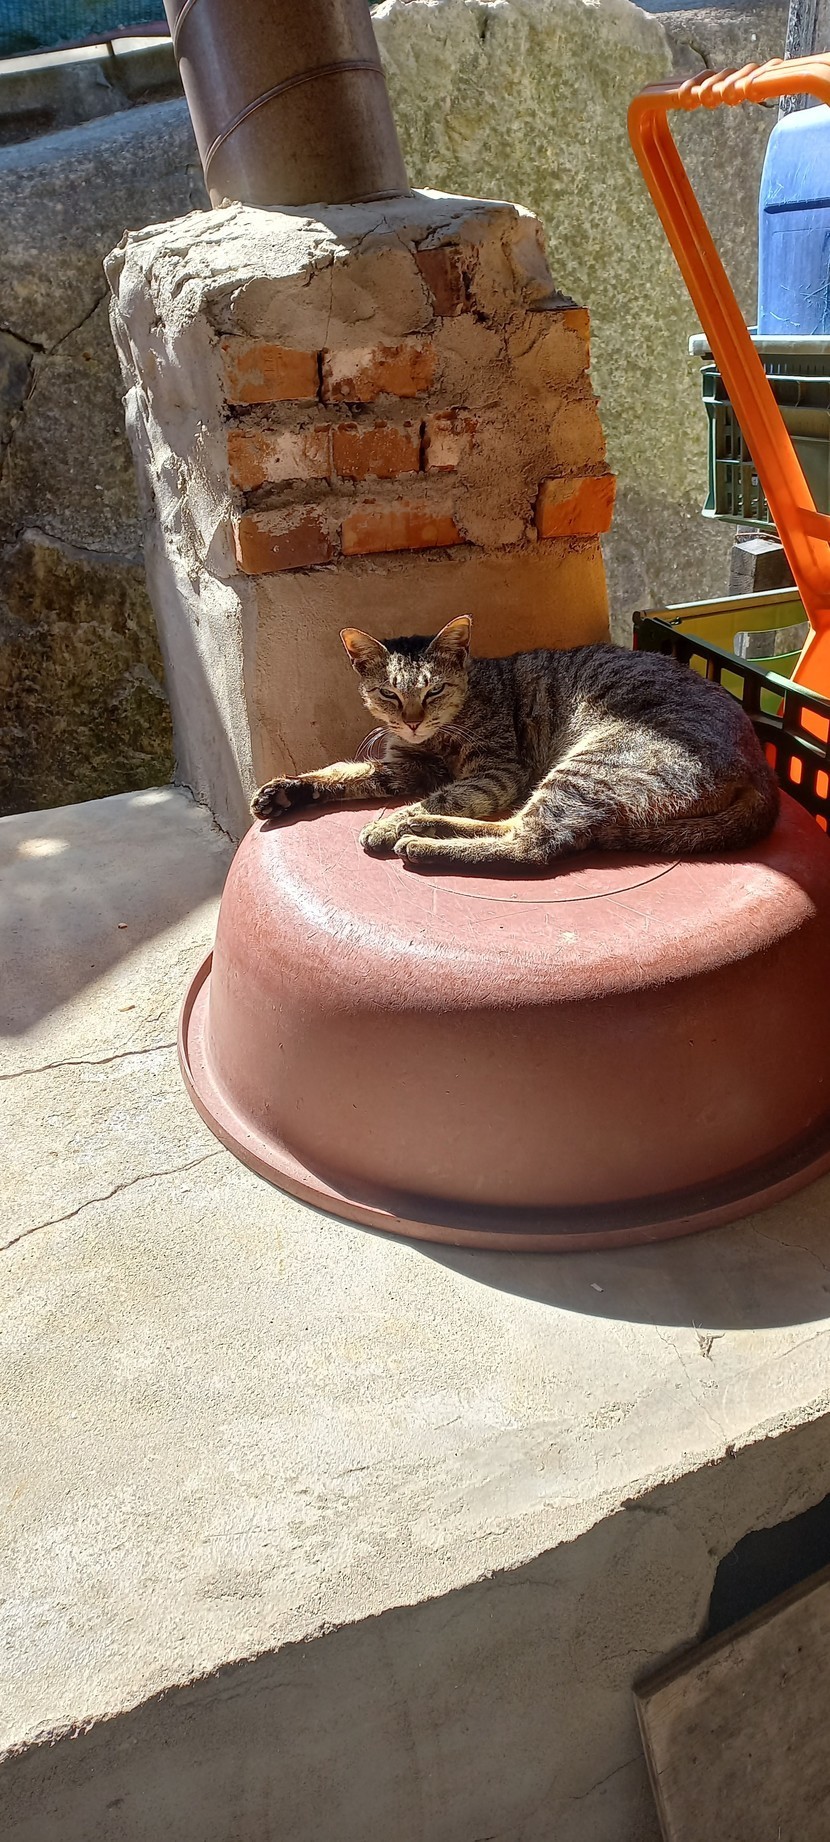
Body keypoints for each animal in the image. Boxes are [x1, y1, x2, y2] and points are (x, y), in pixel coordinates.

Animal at [250, 616, 780, 868]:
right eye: (388, 694)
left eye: (434, 690)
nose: (414, 721)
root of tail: (762, 769)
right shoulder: (404, 765)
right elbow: (343, 773)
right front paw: (286, 790)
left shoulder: (497, 772)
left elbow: (442, 795)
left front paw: (392, 821)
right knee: (520, 830)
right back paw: (425, 831)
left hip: (584, 769)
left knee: (534, 844)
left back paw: (420, 837)